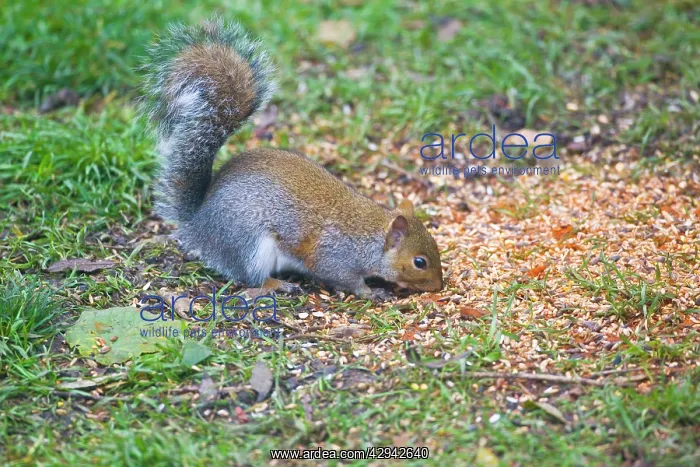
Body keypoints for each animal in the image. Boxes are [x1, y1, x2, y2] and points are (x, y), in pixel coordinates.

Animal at [140, 18, 443, 299]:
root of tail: (198, 225)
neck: (373, 238)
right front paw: (371, 291)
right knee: (251, 278)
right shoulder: (334, 256)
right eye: (419, 262)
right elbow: (345, 278)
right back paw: (278, 284)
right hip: (249, 246)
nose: (439, 286)